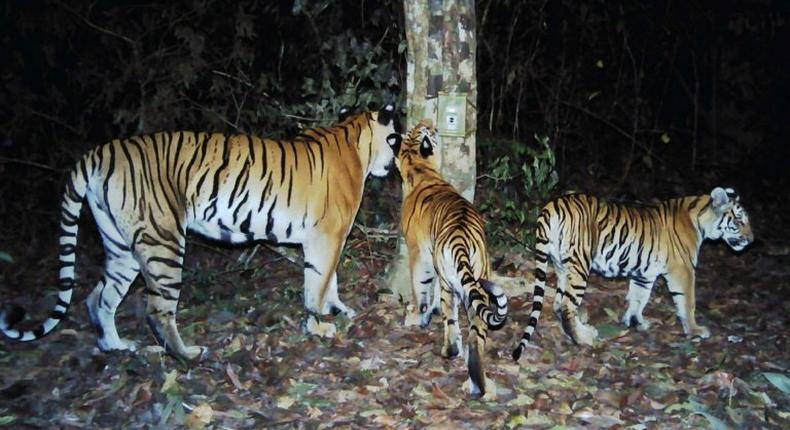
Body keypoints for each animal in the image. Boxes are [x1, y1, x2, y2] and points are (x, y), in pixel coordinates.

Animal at [0, 104, 402, 360]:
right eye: (396, 137)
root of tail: (97, 153)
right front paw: (320, 325)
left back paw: (116, 347)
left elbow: (328, 280)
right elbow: (318, 283)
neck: (354, 139)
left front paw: (338, 310)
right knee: (157, 309)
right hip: (163, 241)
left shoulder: (326, 238)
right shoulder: (327, 235)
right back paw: (188, 355)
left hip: (121, 246)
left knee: (98, 297)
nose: (396, 164)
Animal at [392, 119, 510, 398]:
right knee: (477, 330)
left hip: (451, 283)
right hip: (480, 277)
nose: (429, 122)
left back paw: (450, 351)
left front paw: (420, 316)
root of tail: (460, 240)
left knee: (452, 320)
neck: (421, 169)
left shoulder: (420, 254)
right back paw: (477, 376)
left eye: (422, 130)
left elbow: (422, 290)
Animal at [512, 190, 756, 362]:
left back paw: (582, 332)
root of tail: (552, 205)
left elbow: (639, 298)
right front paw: (695, 330)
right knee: (566, 305)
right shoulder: (683, 269)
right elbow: (688, 302)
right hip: (580, 263)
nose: (752, 240)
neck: (701, 219)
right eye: (739, 221)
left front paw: (635, 322)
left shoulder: (644, 272)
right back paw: (583, 340)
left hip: (562, 265)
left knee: (559, 303)